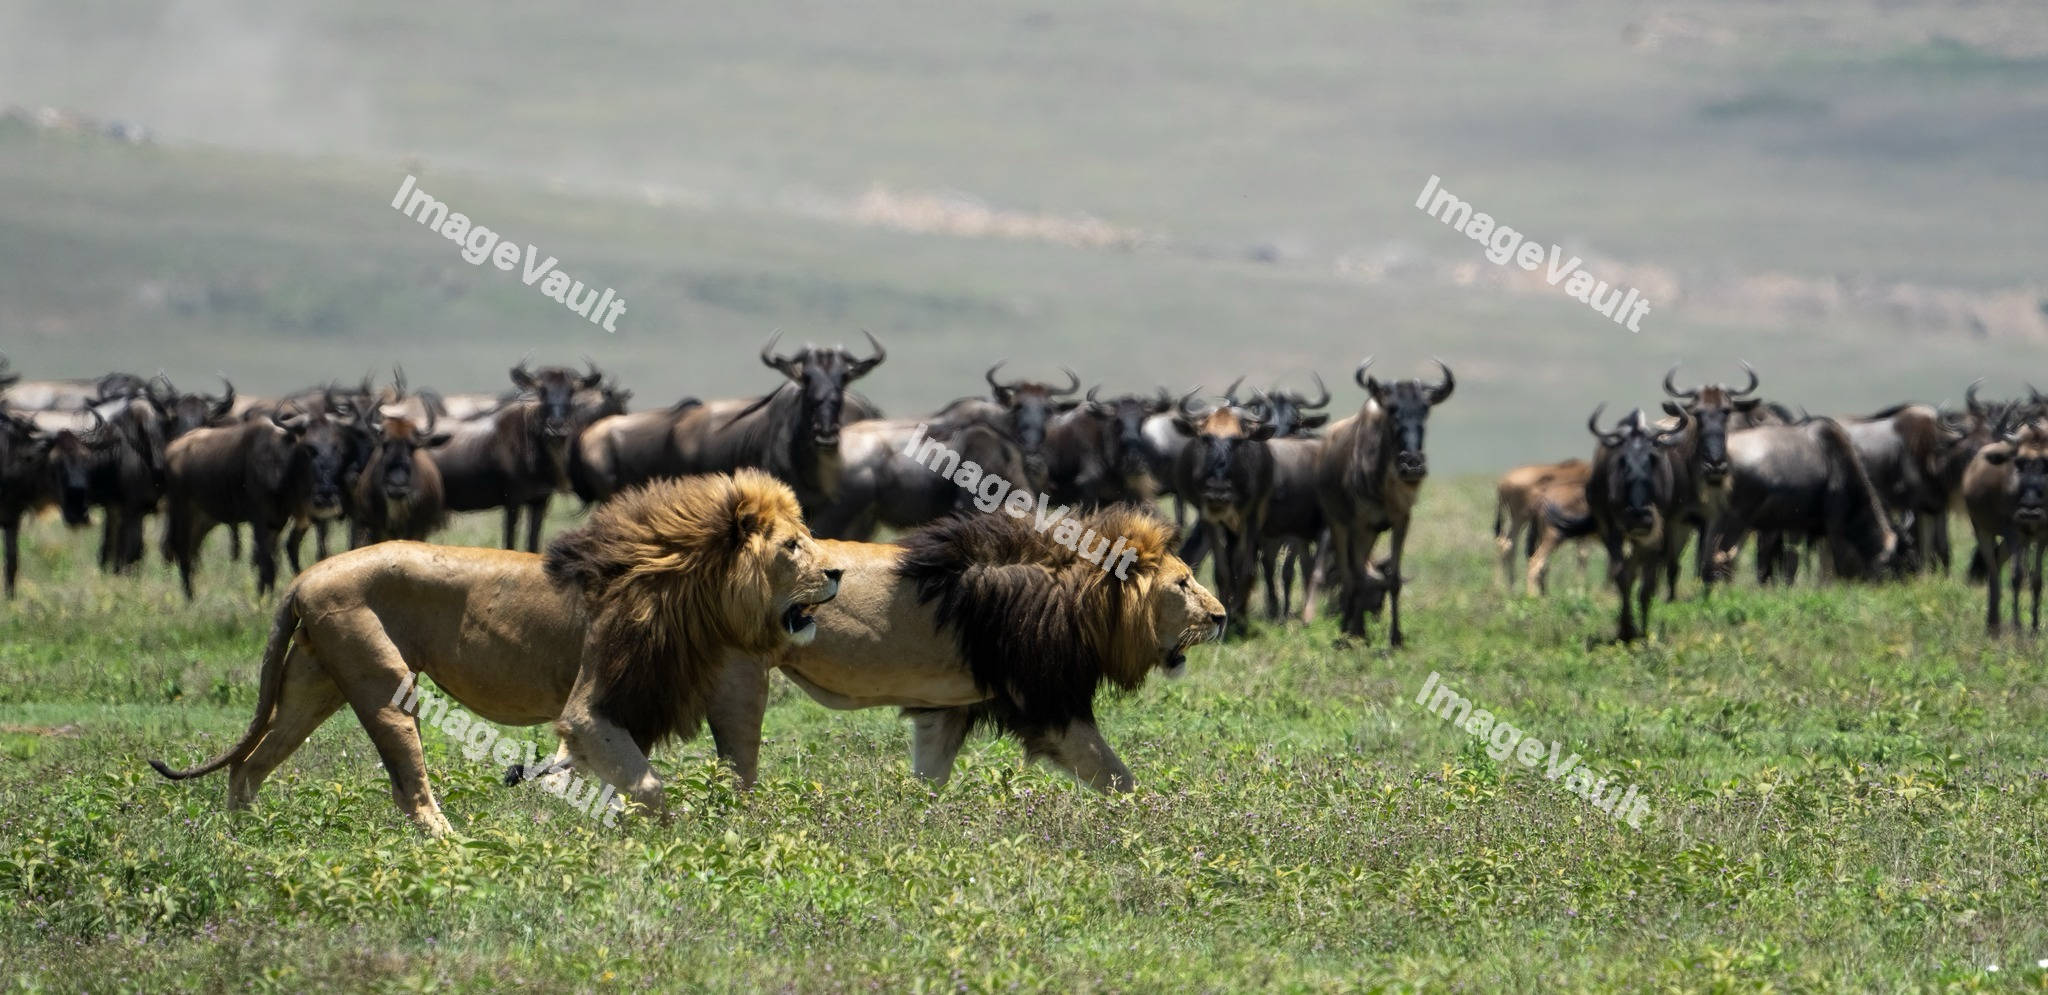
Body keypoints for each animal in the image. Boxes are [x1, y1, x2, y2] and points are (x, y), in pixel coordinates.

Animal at [148, 469, 841, 836]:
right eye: (792, 547)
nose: (837, 572)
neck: (687, 585)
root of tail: (306, 576)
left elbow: (621, 779)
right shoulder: (590, 707)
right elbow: (648, 786)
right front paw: (664, 840)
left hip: (310, 686)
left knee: (250, 764)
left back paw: (243, 837)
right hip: (384, 684)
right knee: (409, 790)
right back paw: (452, 846)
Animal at [514, 503, 1227, 793]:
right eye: (1184, 583)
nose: (1221, 617)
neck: (1080, 594)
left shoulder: (952, 707)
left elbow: (930, 775)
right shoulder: (1049, 703)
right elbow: (1118, 775)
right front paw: (1150, 820)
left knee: (578, 748)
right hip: (738, 679)